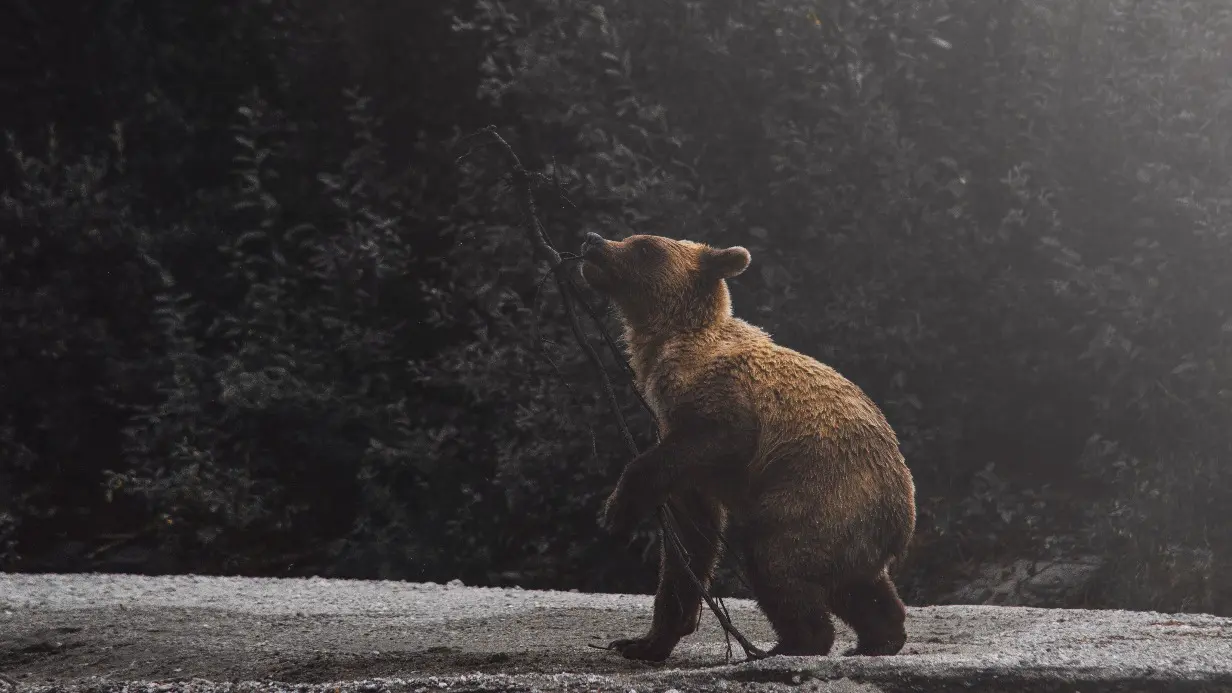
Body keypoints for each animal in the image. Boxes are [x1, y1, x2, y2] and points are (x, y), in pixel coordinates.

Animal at [577, 230, 916, 662]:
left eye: (645, 246)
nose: (593, 240)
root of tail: (903, 519)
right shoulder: (677, 450)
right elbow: (688, 542)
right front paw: (643, 642)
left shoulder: (724, 408)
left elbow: (715, 442)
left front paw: (616, 510)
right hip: (853, 528)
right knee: (858, 585)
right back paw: (879, 637)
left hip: (822, 494)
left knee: (776, 558)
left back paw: (793, 643)